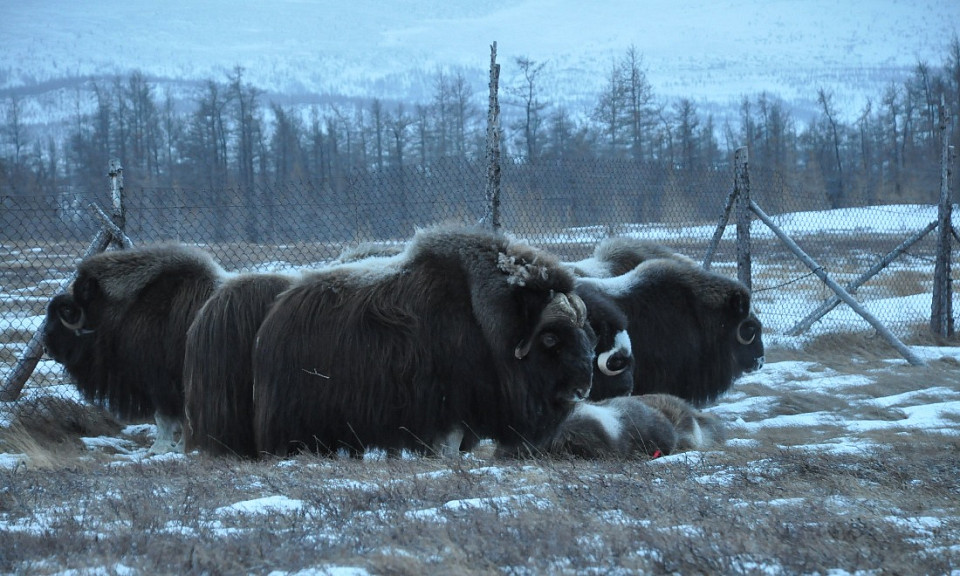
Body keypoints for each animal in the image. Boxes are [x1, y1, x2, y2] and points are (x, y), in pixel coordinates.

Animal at [251, 227, 596, 456]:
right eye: (549, 337)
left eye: (585, 334)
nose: (582, 389)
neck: (486, 323)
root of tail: (276, 314)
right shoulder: (449, 406)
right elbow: (449, 443)